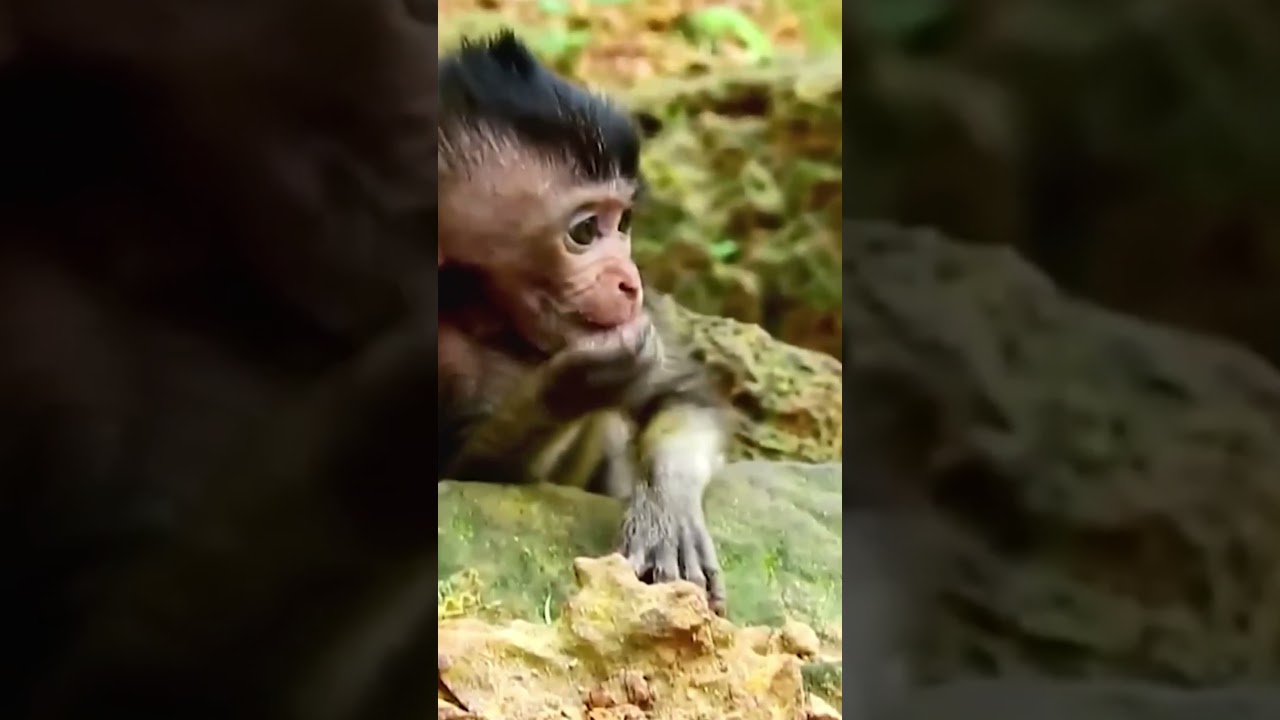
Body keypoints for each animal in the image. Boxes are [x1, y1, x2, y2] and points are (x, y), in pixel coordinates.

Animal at [434, 31, 732, 614]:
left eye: (624, 224)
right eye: (585, 231)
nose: (630, 282)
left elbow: (682, 399)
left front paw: (667, 510)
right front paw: (576, 382)